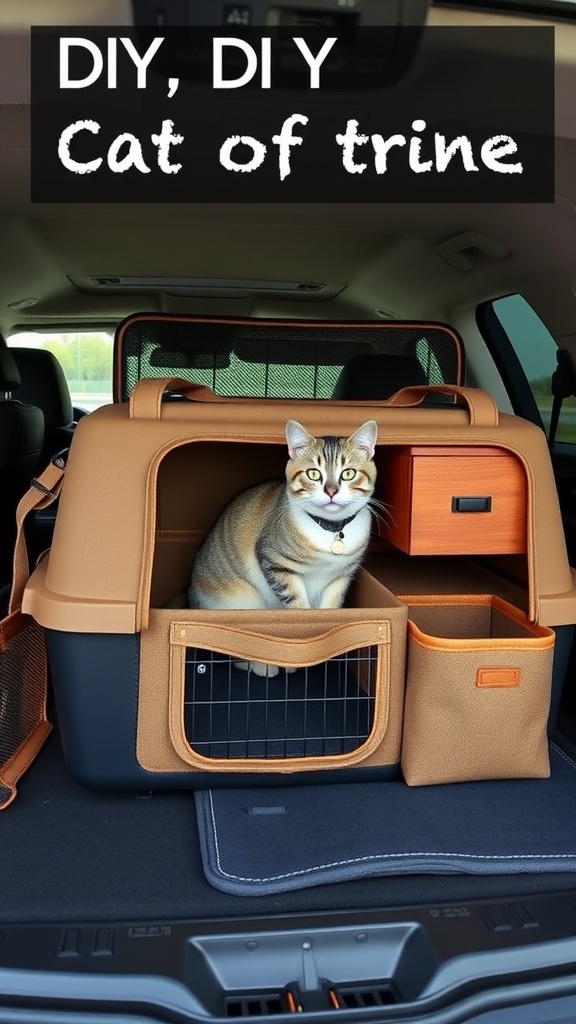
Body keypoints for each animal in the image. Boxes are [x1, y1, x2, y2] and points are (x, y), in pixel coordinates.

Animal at [186, 419, 379, 675]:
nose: (331, 491)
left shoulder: (341, 576)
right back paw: (264, 666)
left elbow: (331, 606)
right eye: (313, 473)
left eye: (348, 473)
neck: (330, 530)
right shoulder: (275, 562)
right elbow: (296, 604)